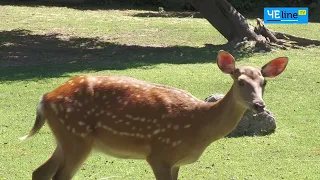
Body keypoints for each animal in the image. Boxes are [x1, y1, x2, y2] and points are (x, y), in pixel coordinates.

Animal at [21, 51, 288, 180]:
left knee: (39, 172)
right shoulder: (159, 154)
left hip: (66, 138)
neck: (199, 127)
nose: (259, 105)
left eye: (264, 82)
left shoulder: (176, 162)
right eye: (240, 81)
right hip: (77, 137)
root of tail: (46, 98)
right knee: (58, 176)